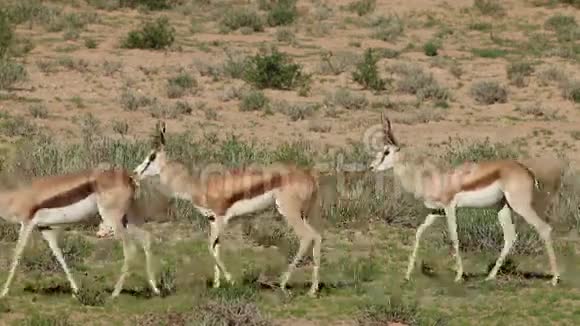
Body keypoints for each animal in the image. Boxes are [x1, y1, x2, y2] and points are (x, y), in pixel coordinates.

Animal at [0, 168, 160, 298]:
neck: (13, 197)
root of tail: (130, 178)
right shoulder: (45, 228)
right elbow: (58, 255)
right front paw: (76, 289)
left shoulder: (26, 224)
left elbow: (17, 254)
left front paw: (4, 292)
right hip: (125, 221)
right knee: (146, 238)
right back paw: (155, 288)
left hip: (113, 220)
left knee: (130, 248)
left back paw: (115, 293)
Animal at [131, 121, 322, 296]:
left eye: (152, 156)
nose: (134, 174)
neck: (198, 186)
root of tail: (310, 177)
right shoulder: (212, 220)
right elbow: (215, 248)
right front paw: (217, 285)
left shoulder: (222, 219)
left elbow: (210, 247)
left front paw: (231, 281)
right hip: (302, 215)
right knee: (317, 236)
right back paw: (312, 289)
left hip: (289, 213)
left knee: (306, 237)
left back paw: (283, 283)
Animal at [370, 114, 564, 286]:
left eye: (386, 151)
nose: (372, 167)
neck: (432, 180)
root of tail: (527, 171)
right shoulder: (436, 211)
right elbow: (419, 232)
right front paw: (407, 275)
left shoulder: (450, 208)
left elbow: (454, 237)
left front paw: (459, 276)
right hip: (502, 207)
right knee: (510, 236)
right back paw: (490, 277)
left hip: (520, 206)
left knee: (544, 228)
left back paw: (554, 279)